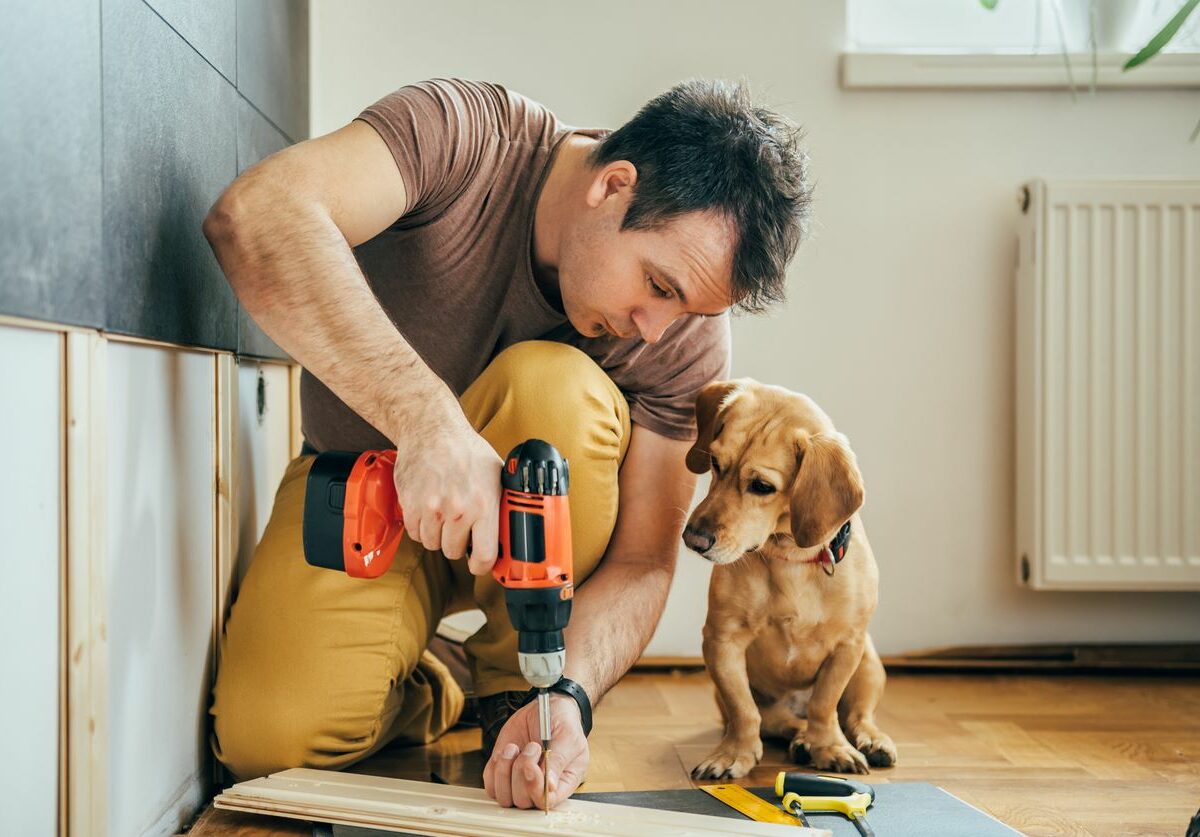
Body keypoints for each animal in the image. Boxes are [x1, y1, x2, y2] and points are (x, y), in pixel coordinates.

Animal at [681, 378, 897, 777]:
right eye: (715, 463)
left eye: (762, 486)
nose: (693, 539)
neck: (790, 560)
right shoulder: (722, 641)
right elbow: (744, 711)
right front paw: (733, 753)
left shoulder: (847, 646)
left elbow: (824, 706)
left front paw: (830, 747)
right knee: (780, 721)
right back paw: (800, 740)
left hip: (869, 664)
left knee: (857, 715)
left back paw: (868, 740)